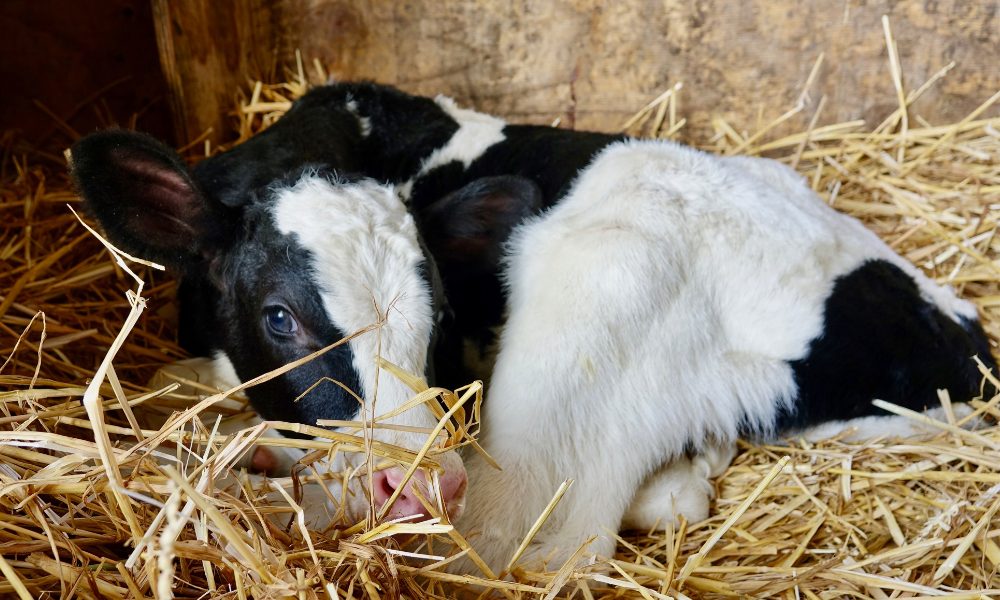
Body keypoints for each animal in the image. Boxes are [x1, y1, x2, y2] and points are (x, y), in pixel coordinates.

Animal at [70, 83, 992, 572]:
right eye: (280, 316)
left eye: (442, 317)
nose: (420, 485)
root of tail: (961, 339)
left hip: (597, 298)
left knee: (516, 540)